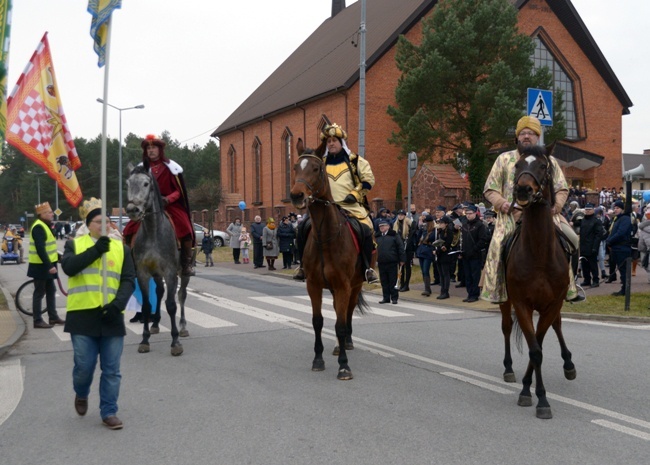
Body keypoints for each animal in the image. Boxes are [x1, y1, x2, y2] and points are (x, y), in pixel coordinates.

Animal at [288, 140, 368, 378]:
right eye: (295, 167)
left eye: (316, 169)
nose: (296, 196)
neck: (326, 237)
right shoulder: (313, 285)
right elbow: (318, 322)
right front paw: (318, 359)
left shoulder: (343, 285)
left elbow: (340, 325)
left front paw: (344, 366)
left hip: (355, 285)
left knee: (348, 312)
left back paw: (346, 343)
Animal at [498, 146, 576, 420]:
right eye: (518, 165)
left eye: (543, 166)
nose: (523, 190)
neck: (539, 253)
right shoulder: (521, 303)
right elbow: (535, 350)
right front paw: (534, 395)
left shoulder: (552, 304)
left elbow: (539, 344)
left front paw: (534, 391)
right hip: (506, 301)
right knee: (506, 327)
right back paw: (509, 369)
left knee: (557, 326)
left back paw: (569, 364)